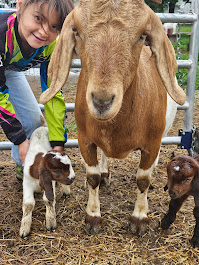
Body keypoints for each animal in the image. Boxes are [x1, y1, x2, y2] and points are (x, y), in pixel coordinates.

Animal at [39, 0, 186, 235]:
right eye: (76, 31)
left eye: (143, 35)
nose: (102, 101)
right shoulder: (84, 139)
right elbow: (92, 177)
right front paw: (93, 217)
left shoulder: (152, 143)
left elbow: (143, 180)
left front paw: (139, 219)